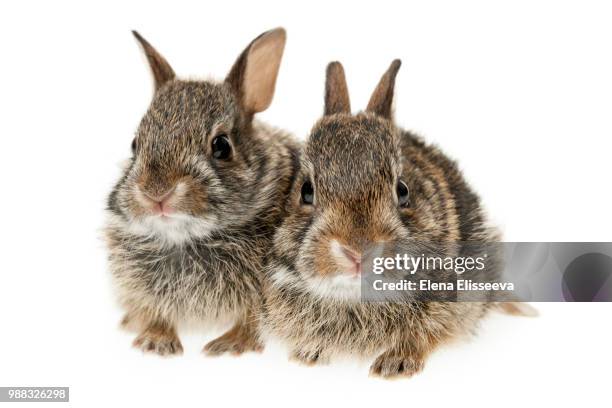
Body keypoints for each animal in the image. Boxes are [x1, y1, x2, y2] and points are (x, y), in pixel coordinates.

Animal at [106, 27, 302, 354]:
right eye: (135, 144)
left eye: (221, 146)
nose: (156, 193)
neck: (187, 238)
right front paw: (155, 341)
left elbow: (251, 319)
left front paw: (230, 345)